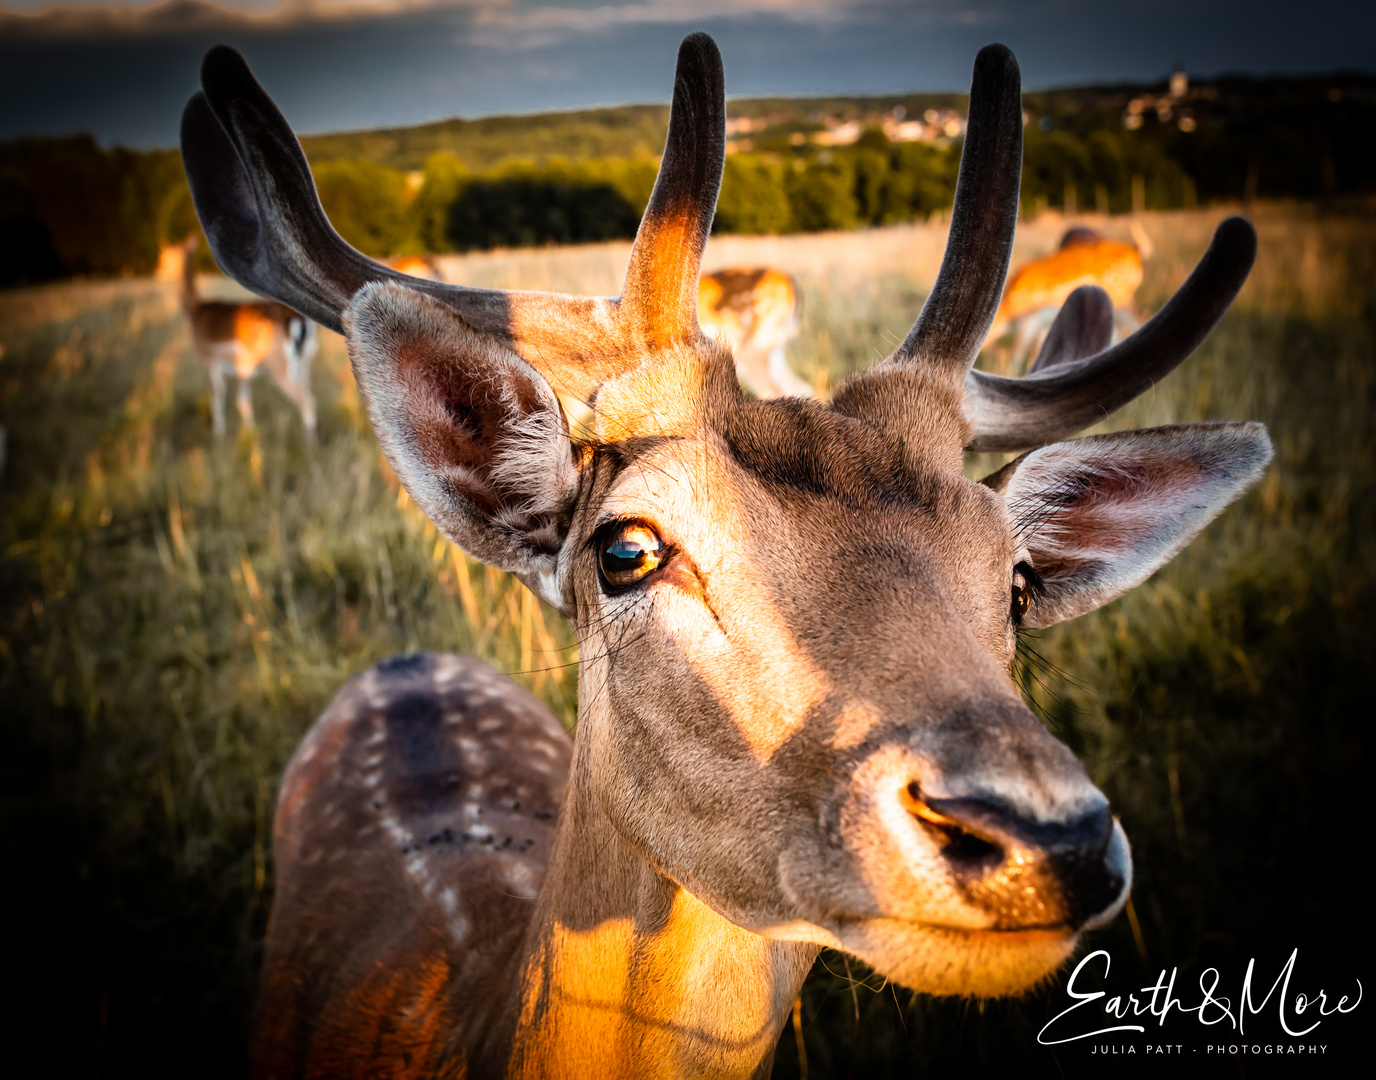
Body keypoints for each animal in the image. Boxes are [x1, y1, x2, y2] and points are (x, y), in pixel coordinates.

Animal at [171, 236, 319, 437]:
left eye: (167, 253)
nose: (161, 268)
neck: (194, 313)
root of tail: (299, 321)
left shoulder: (209, 359)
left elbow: (217, 395)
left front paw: (218, 434)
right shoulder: (244, 368)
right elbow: (243, 401)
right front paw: (250, 433)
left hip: (278, 367)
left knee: (307, 401)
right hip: (304, 363)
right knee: (310, 395)